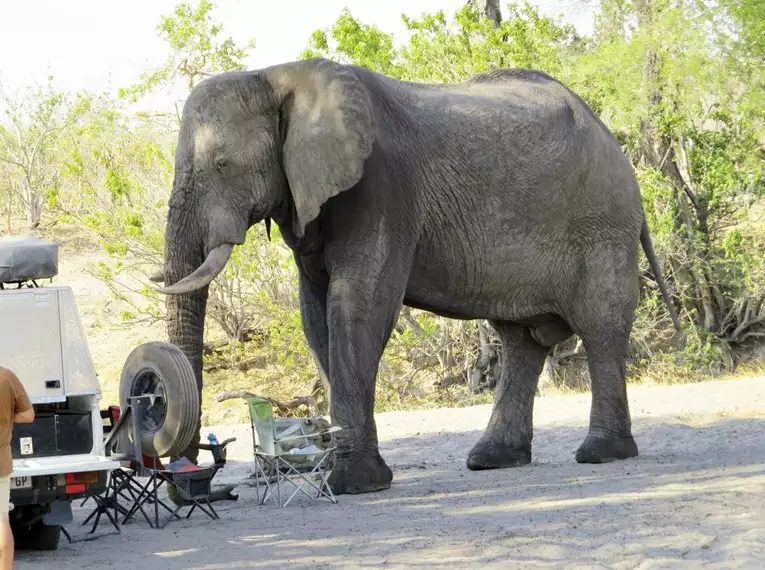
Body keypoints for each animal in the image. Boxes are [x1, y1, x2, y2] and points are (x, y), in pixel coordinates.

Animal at [151, 56, 680, 492]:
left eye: (223, 164)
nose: (195, 471)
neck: (277, 76)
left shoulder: (381, 187)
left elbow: (359, 307)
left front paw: (354, 484)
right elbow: (316, 317)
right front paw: (347, 475)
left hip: (602, 224)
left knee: (599, 327)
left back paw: (601, 454)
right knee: (520, 341)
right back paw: (492, 459)